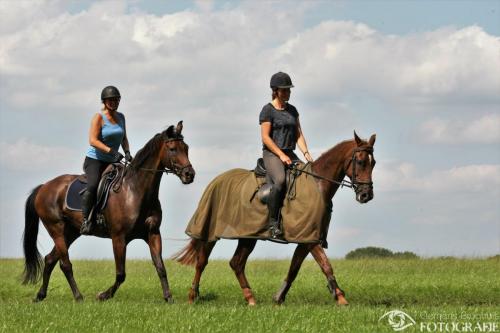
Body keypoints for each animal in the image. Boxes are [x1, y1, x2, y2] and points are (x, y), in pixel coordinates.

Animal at [23, 120, 195, 302]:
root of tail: (44, 187)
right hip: (56, 229)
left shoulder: (153, 233)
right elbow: (121, 274)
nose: (189, 174)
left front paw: (168, 297)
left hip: (70, 232)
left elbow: (160, 267)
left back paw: (40, 295)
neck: (136, 191)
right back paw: (78, 297)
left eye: (186, 148)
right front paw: (103, 295)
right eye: (173, 149)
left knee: (50, 260)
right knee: (65, 264)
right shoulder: (118, 237)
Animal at [175, 131, 376, 304]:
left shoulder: (307, 238)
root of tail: (215, 181)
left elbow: (295, 268)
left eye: (373, 163)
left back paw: (251, 299)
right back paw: (192, 296)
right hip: (211, 233)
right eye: (360, 162)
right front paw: (341, 298)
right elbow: (325, 265)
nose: (366, 195)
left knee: (237, 263)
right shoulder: (310, 238)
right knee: (202, 262)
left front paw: (279, 297)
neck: (318, 185)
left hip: (248, 236)